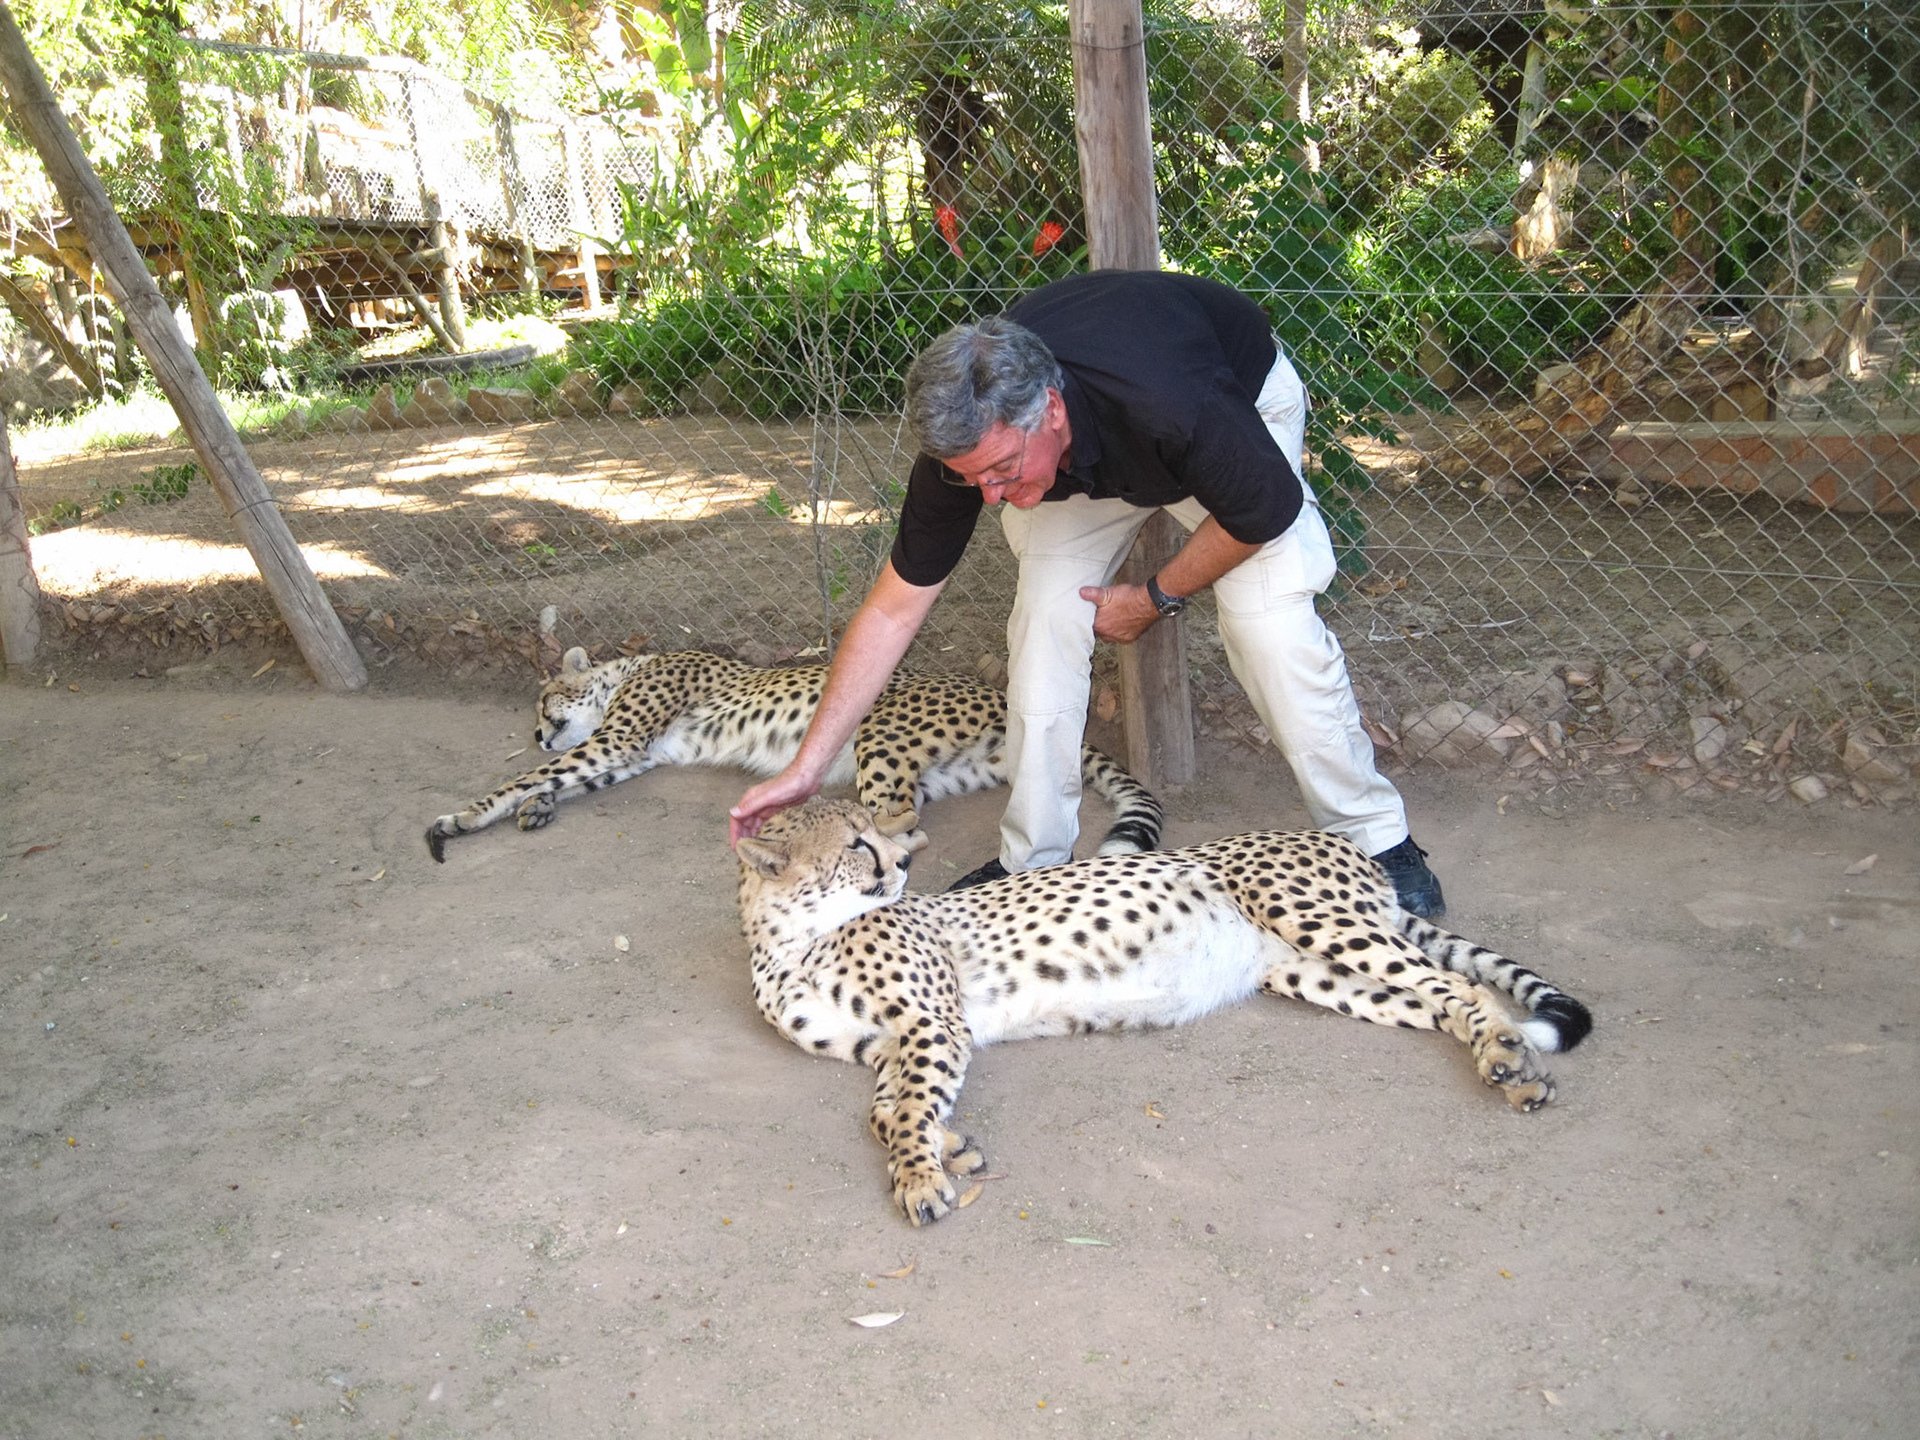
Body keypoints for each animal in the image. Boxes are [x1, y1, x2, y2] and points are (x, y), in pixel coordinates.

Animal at [426, 647, 1162, 863]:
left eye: (544, 700)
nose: (536, 732)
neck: (622, 669)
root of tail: (997, 695)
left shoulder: (620, 738)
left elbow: (530, 777)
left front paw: (462, 816)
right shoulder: (632, 753)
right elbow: (562, 779)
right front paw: (536, 808)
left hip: (877, 727)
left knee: (899, 824)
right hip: (942, 768)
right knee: (911, 816)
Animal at [736, 799, 1594, 1226]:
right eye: (855, 845)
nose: (905, 862)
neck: (786, 941)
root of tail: (1346, 846)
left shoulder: (928, 1023)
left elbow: (904, 1109)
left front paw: (920, 1177)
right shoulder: (892, 1043)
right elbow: (885, 1110)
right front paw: (953, 1148)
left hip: (1313, 915)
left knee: (1469, 990)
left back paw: (1513, 1062)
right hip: (1315, 974)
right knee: (1442, 1002)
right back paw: (1506, 1066)